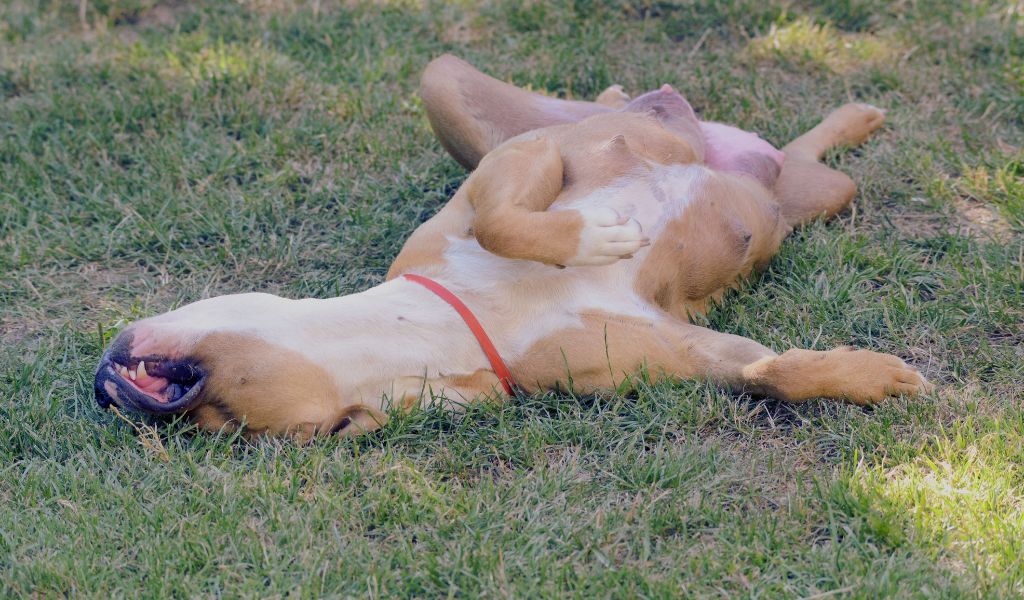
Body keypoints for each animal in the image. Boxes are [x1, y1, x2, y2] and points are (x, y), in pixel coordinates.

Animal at [92, 53, 933, 436]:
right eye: (226, 431)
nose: (126, 404)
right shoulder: (676, 349)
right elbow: (766, 371)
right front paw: (866, 377)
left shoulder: (512, 172)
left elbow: (505, 215)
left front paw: (587, 234)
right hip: (811, 194)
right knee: (804, 154)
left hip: (452, 90)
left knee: (604, 114)